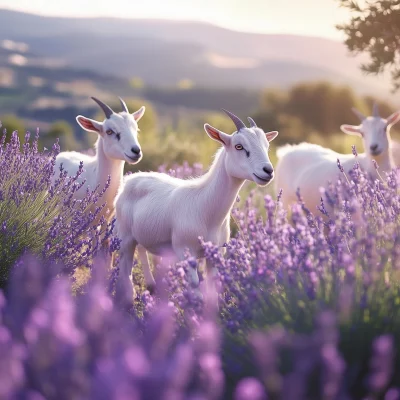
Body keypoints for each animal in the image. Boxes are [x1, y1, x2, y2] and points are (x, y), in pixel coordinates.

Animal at [114, 109, 280, 304]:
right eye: (239, 146)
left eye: (266, 146)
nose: (268, 171)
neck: (206, 207)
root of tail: (129, 180)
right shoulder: (185, 251)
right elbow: (195, 289)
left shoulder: (215, 254)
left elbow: (212, 289)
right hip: (125, 237)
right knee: (126, 271)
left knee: (143, 253)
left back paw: (152, 288)